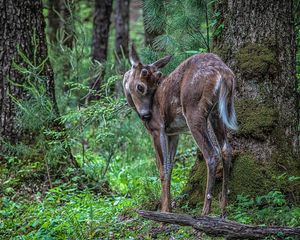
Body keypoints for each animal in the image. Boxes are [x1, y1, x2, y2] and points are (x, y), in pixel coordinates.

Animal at [123, 44, 238, 217]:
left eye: (140, 87)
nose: (147, 115)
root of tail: (223, 72)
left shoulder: (158, 128)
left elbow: (162, 168)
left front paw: (164, 211)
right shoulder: (173, 132)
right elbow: (170, 166)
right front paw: (169, 208)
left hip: (193, 110)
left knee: (211, 153)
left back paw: (205, 211)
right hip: (216, 113)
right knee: (226, 149)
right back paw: (223, 209)